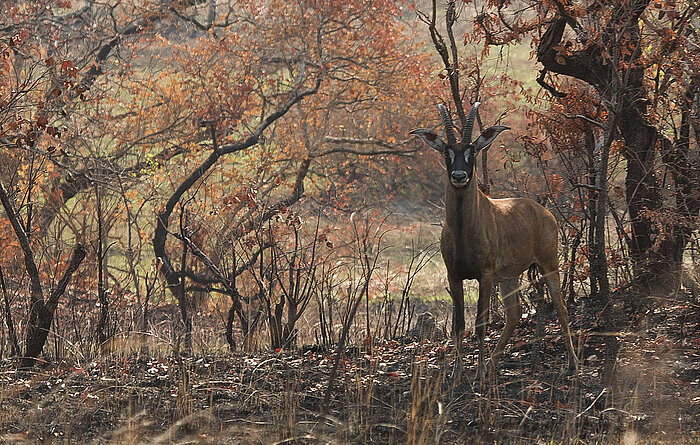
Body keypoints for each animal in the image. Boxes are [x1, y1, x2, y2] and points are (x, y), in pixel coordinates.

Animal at [410, 102, 580, 376]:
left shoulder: (485, 274)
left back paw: (573, 363)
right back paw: (492, 364)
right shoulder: (454, 275)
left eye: (472, 151)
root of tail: (543, 212)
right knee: (514, 313)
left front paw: (477, 373)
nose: (459, 176)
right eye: (447, 151)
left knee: (561, 306)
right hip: (509, 277)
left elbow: (481, 322)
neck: (463, 230)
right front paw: (457, 372)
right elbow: (459, 325)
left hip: (548, 264)